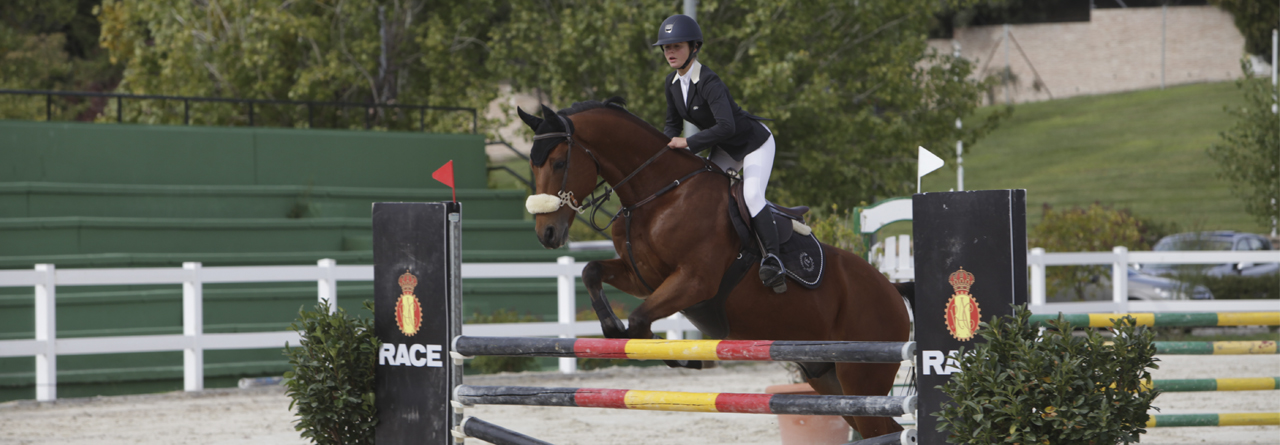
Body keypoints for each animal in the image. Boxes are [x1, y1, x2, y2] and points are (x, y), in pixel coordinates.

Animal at [514, 98, 916, 437]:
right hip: (828, 378)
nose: (547, 234)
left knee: (882, 428)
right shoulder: (643, 276)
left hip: (861, 376)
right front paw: (613, 328)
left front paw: (682, 359)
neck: (659, 194)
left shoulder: (694, 281)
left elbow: (641, 320)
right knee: (881, 427)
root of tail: (891, 289)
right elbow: (592, 272)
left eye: (559, 162)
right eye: (533, 163)